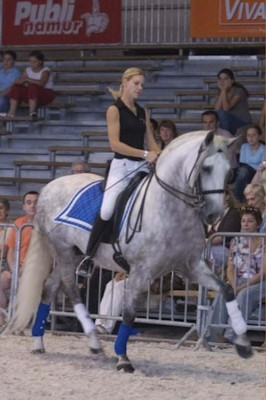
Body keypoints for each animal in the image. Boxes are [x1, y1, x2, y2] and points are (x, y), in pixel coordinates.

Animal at [3, 131, 251, 372]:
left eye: (230, 172)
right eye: (206, 168)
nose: (214, 215)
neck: (170, 207)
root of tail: (49, 187)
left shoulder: (191, 266)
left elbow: (227, 289)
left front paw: (243, 343)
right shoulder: (142, 271)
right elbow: (130, 313)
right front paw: (123, 358)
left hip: (73, 255)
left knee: (50, 287)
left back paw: (39, 342)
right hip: (63, 252)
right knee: (70, 289)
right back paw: (93, 341)